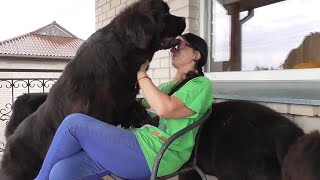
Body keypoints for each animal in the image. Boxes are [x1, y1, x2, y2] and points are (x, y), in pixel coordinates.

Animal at [0, 0, 186, 179]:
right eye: (166, 13)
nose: (184, 19)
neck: (120, 56)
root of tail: (10, 141)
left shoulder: (124, 103)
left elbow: (139, 113)